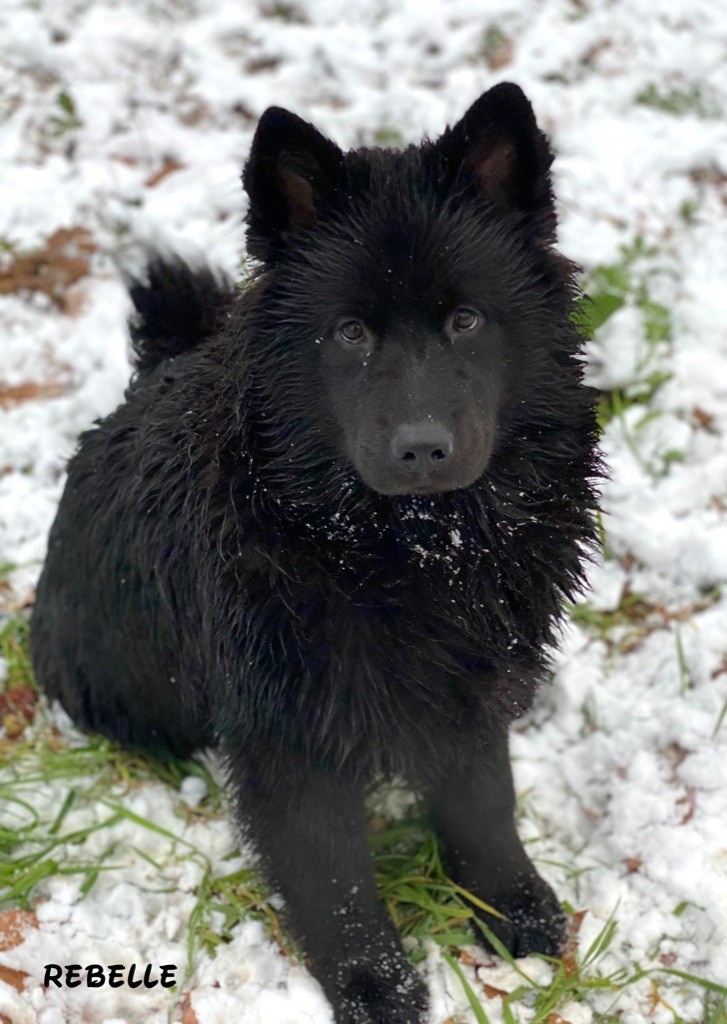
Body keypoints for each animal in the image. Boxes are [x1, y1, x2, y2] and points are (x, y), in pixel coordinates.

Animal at [31, 83, 602, 1019]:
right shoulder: (287, 735)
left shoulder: (468, 690)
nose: (421, 448)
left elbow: (486, 806)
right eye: (350, 334)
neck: (402, 553)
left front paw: (510, 907)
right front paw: (375, 985)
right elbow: (333, 880)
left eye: (465, 320)